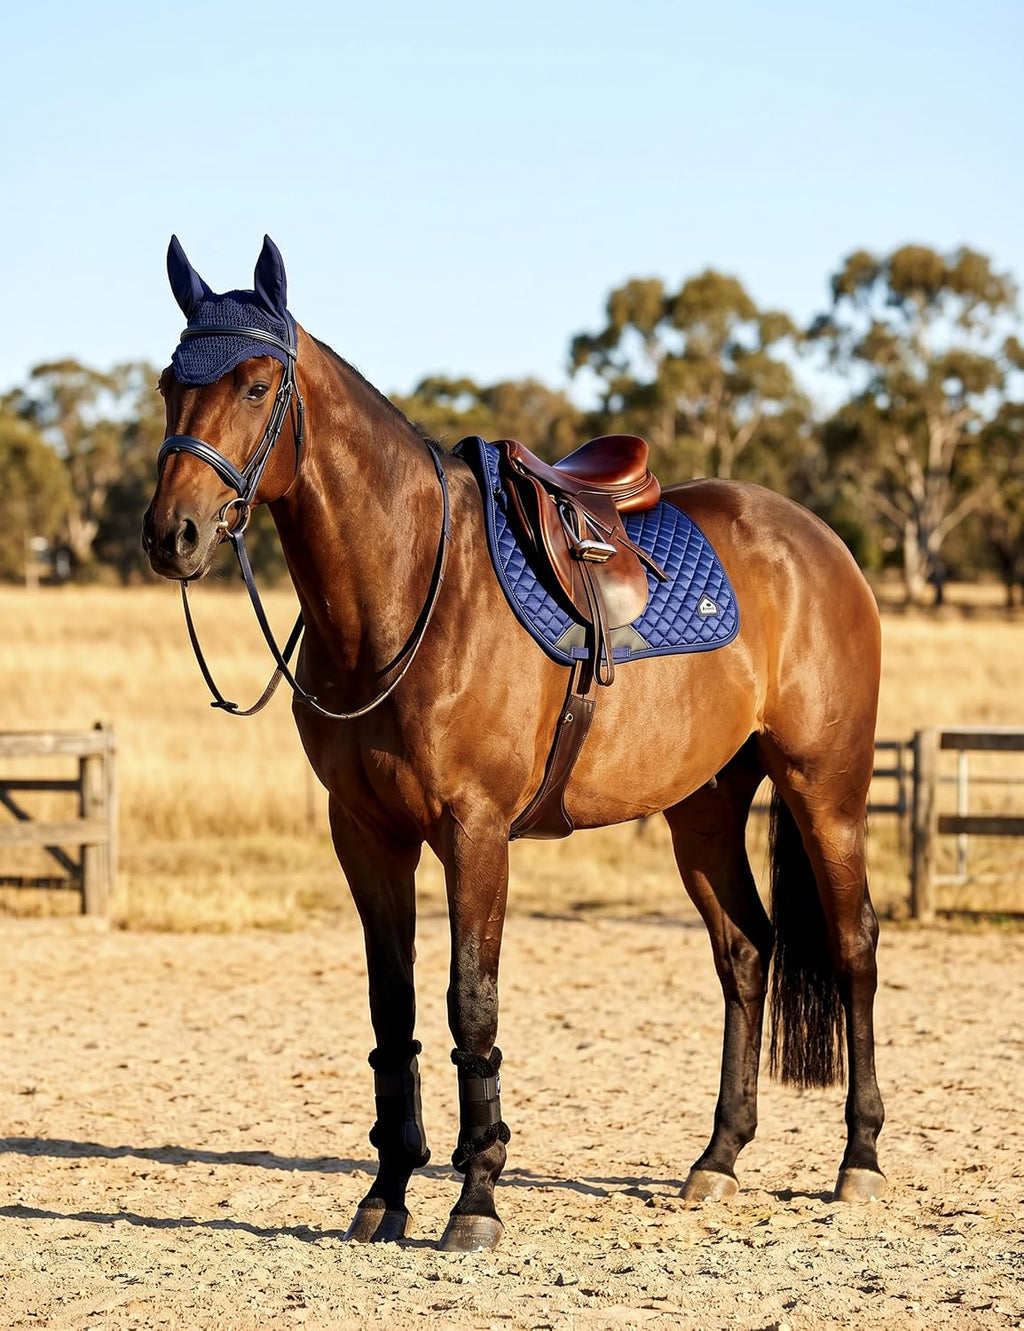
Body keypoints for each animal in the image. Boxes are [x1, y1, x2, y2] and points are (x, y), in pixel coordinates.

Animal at [142, 236, 886, 1251]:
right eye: (170, 382)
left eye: (257, 385)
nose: (170, 535)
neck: (409, 590)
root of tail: (820, 540)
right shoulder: (365, 834)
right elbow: (394, 1006)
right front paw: (388, 1190)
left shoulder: (475, 830)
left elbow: (471, 1001)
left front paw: (476, 1195)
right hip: (703, 808)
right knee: (745, 950)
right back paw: (719, 1158)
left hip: (825, 790)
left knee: (853, 947)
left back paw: (861, 1158)